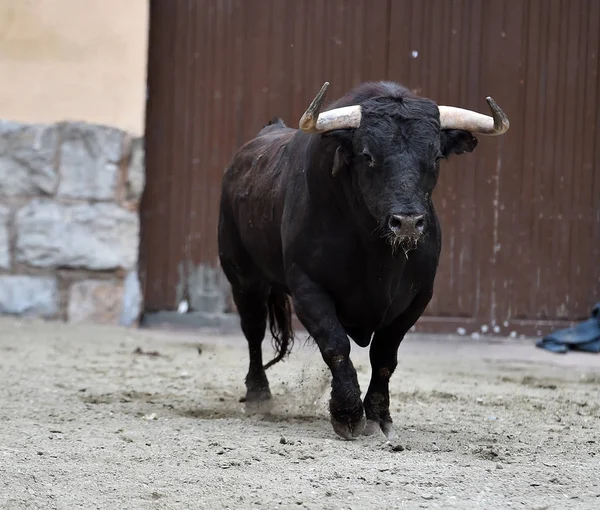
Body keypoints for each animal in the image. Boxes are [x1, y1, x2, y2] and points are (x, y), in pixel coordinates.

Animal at [218, 81, 508, 440]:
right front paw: (347, 414)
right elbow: (336, 345)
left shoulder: (417, 298)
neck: (377, 253)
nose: (408, 222)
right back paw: (258, 393)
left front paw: (379, 416)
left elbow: (384, 356)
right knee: (253, 331)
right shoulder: (308, 289)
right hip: (243, 279)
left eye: (436, 156)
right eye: (368, 156)